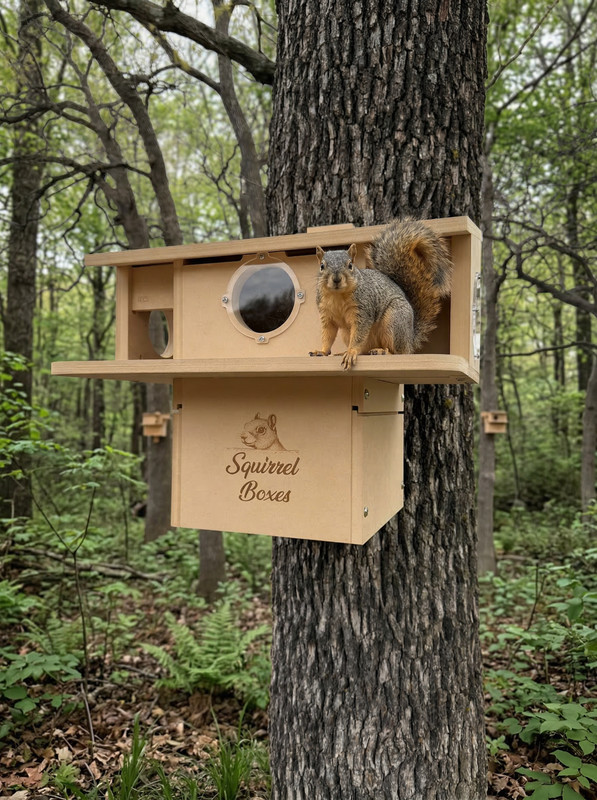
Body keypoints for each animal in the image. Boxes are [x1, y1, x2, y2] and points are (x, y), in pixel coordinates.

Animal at [309, 218, 453, 369]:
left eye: (350, 265)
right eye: (322, 266)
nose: (336, 279)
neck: (337, 295)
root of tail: (410, 339)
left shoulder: (363, 310)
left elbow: (358, 335)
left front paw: (351, 352)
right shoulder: (326, 315)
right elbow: (327, 335)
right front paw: (322, 351)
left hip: (394, 321)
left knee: (398, 352)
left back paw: (382, 351)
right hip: (348, 333)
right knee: (364, 350)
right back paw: (345, 351)